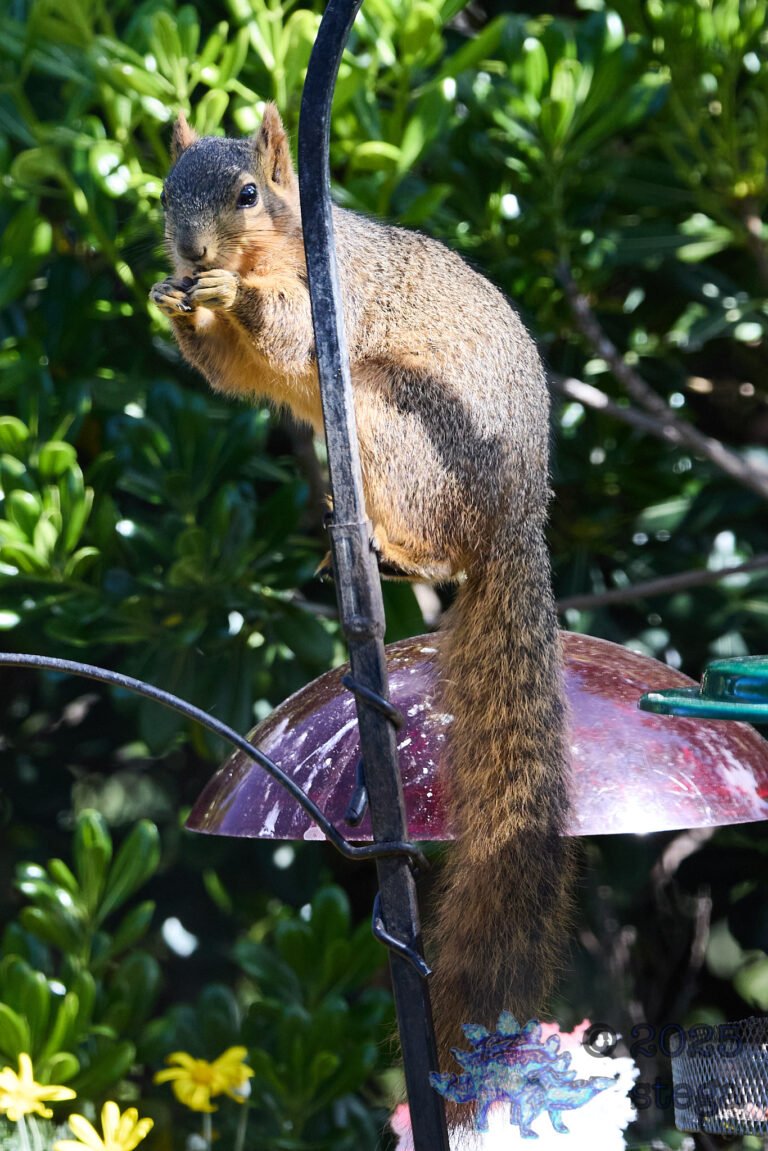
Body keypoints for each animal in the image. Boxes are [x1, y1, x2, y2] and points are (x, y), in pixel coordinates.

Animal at [150, 104, 575, 1101]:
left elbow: (285, 338)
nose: (190, 253)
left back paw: (384, 543)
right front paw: (172, 297)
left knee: (436, 538)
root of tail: (517, 520)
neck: (281, 246)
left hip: (400, 419)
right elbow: (230, 372)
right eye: (164, 190)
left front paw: (231, 295)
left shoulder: (331, 299)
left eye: (247, 192)